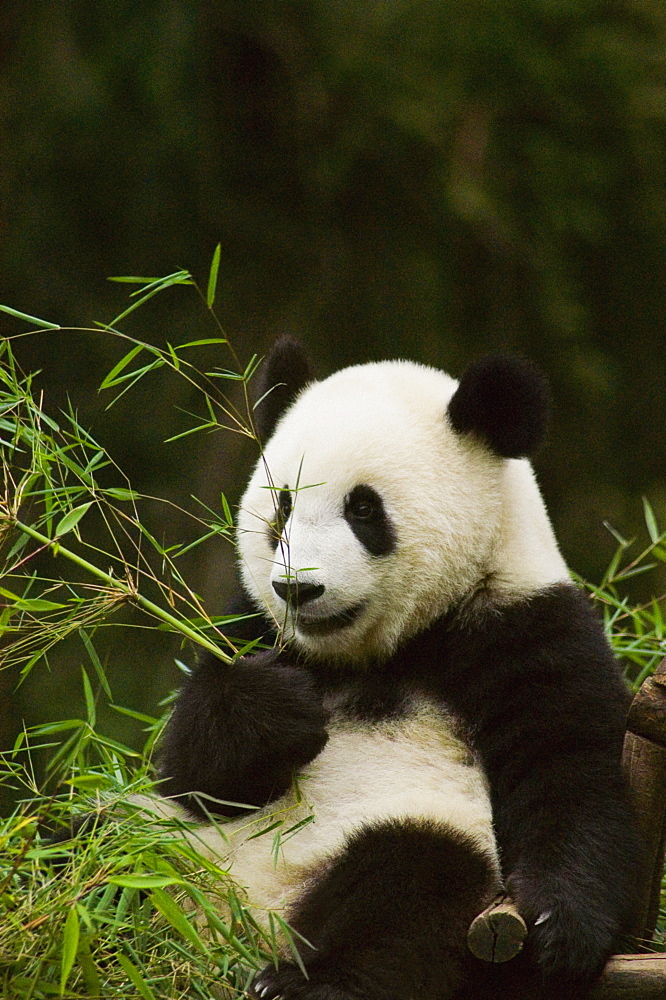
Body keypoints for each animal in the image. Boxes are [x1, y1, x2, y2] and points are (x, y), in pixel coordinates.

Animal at [153, 338, 636, 1000]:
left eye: (363, 508)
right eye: (283, 506)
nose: (297, 590)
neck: (378, 652)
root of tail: (225, 931)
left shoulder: (524, 626)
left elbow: (569, 768)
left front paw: (559, 929)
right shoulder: (247, 622)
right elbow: (191, 772)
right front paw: (273, 708)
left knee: (410, 881)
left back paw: (304, 981)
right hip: (158, 845)